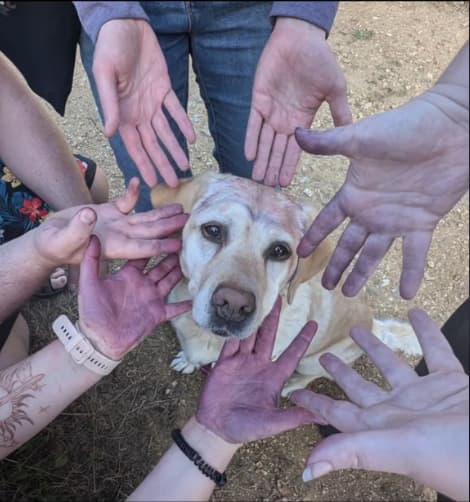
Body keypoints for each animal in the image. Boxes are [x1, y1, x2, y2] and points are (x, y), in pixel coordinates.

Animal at [151, 173, 418, 396]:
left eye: (280, 251)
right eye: (213, 230)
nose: (234, 306)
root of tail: (373, 326)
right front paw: (188, 361)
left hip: (315, 360)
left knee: (311, 376)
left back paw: (291, 386)